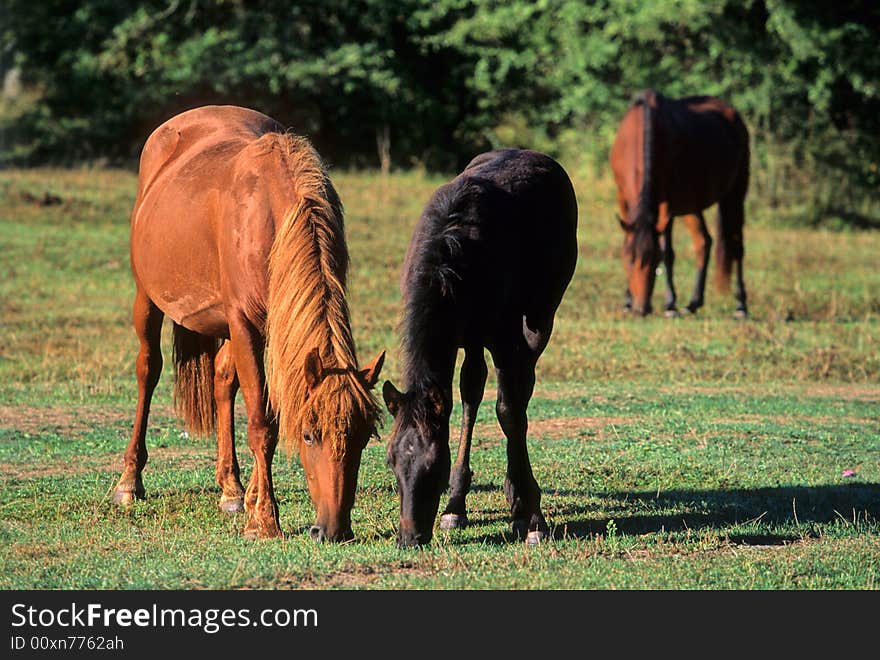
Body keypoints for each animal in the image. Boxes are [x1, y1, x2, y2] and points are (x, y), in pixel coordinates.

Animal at [111, 104, 384, 540]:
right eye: (308, 435)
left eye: (362, 438)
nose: (334, 529)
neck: (272, 214)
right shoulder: (244, 324)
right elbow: (261, 422)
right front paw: (265, 520)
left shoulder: (272, 326)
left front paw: (253, 498)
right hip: (148, 299)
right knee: (147, 371)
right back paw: (128, 483)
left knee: (223, 384)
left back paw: (232, 488)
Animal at [384, 150, 576, 548]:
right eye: (391, 461)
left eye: (433, 465)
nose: (409, 537)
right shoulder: (465, 336)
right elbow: (469, 395)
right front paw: (454, 507)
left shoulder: (503, 334)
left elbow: (508, 411)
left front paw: (532, 517)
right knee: (474, 390)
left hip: (540, 315)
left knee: (521, 384)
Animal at [612, 89, 748, 318]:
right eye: (630, 259)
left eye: (654, 260)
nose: (641, 309)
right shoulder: (623, 197)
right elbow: (627, 240)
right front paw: (627, 301)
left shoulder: (666, 204)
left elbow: (668, 253)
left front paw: (670, 304)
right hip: (691, 204)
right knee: (704, 241)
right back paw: (693, 303)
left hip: (735, 194)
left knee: (736, 244)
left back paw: (741, 306)